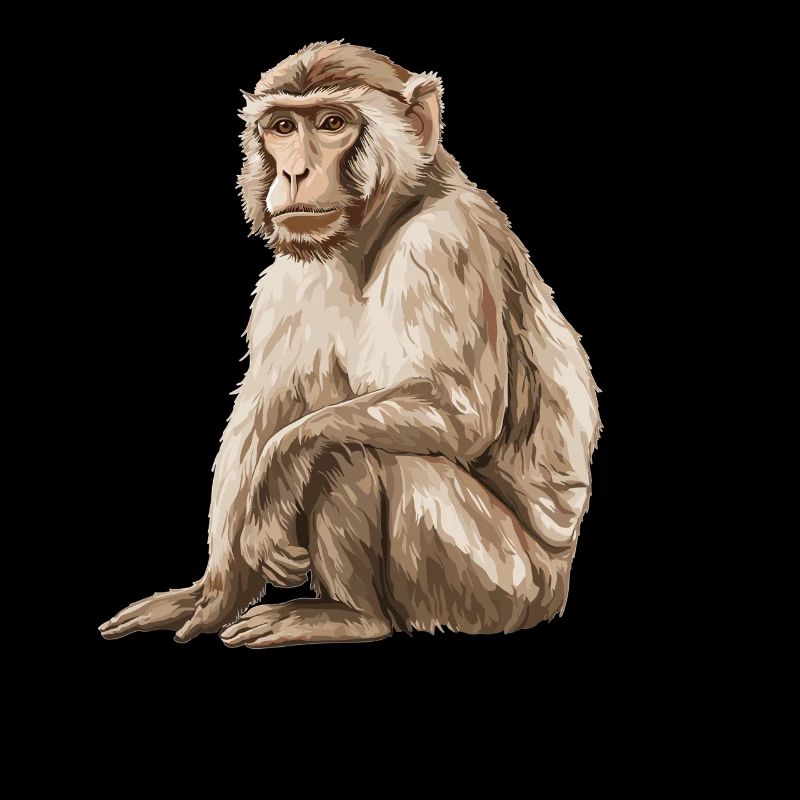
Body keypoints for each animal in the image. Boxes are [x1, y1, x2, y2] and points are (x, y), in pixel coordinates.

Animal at [99, 41, 600, 648]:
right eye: (283, 127)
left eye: (332, 124)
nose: (294, 170)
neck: (378, 227)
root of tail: (555, 587)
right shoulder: (287, 281)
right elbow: (260, 414)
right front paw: (214, 594)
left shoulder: (444, 242)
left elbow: (458, 415)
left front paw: (275, 481)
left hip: (496, 587)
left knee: (353, 447)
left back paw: (352, 616)